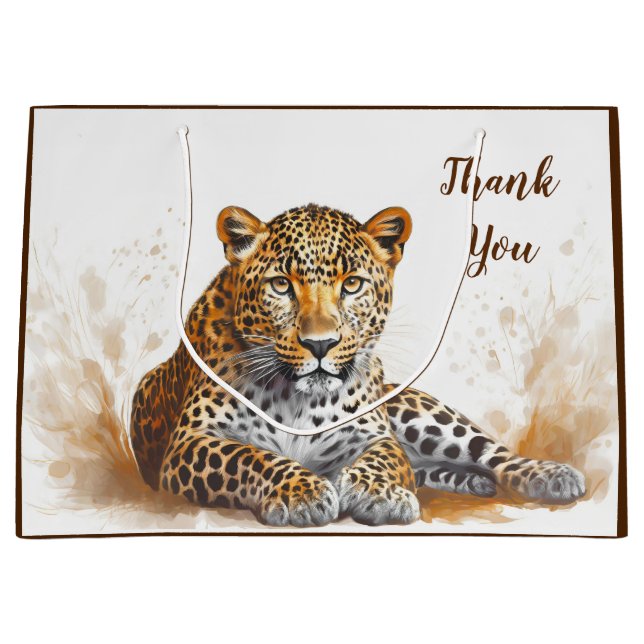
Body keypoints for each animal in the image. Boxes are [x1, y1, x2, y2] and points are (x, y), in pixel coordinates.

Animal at [130, 203, 586, 527]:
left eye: (351, 284)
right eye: (281, 285)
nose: (320, 344)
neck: (296, 400)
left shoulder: (374, 434)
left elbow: (384, 459)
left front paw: (378, 494)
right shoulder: (191, 441)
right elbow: (249, 457)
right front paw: (303, 493)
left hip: (417, 411)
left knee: (489, 452)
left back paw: (552, 476)